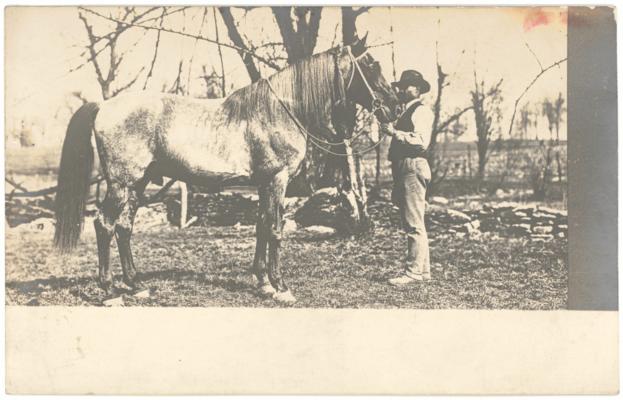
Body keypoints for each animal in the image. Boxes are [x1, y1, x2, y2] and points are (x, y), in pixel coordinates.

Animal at [51, 35, 398, 304]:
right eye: (371, 65)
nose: (394, 106)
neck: (279, 111)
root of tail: (104, 105)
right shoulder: (277, 180)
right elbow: (275, 228)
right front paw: (281, 287)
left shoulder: (263, 183)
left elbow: (261, 226)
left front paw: (263, 282)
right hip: (122, 184)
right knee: (104, 224)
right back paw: (110, 291)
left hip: (138, 184)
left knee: (123, 228)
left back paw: (136, 286)